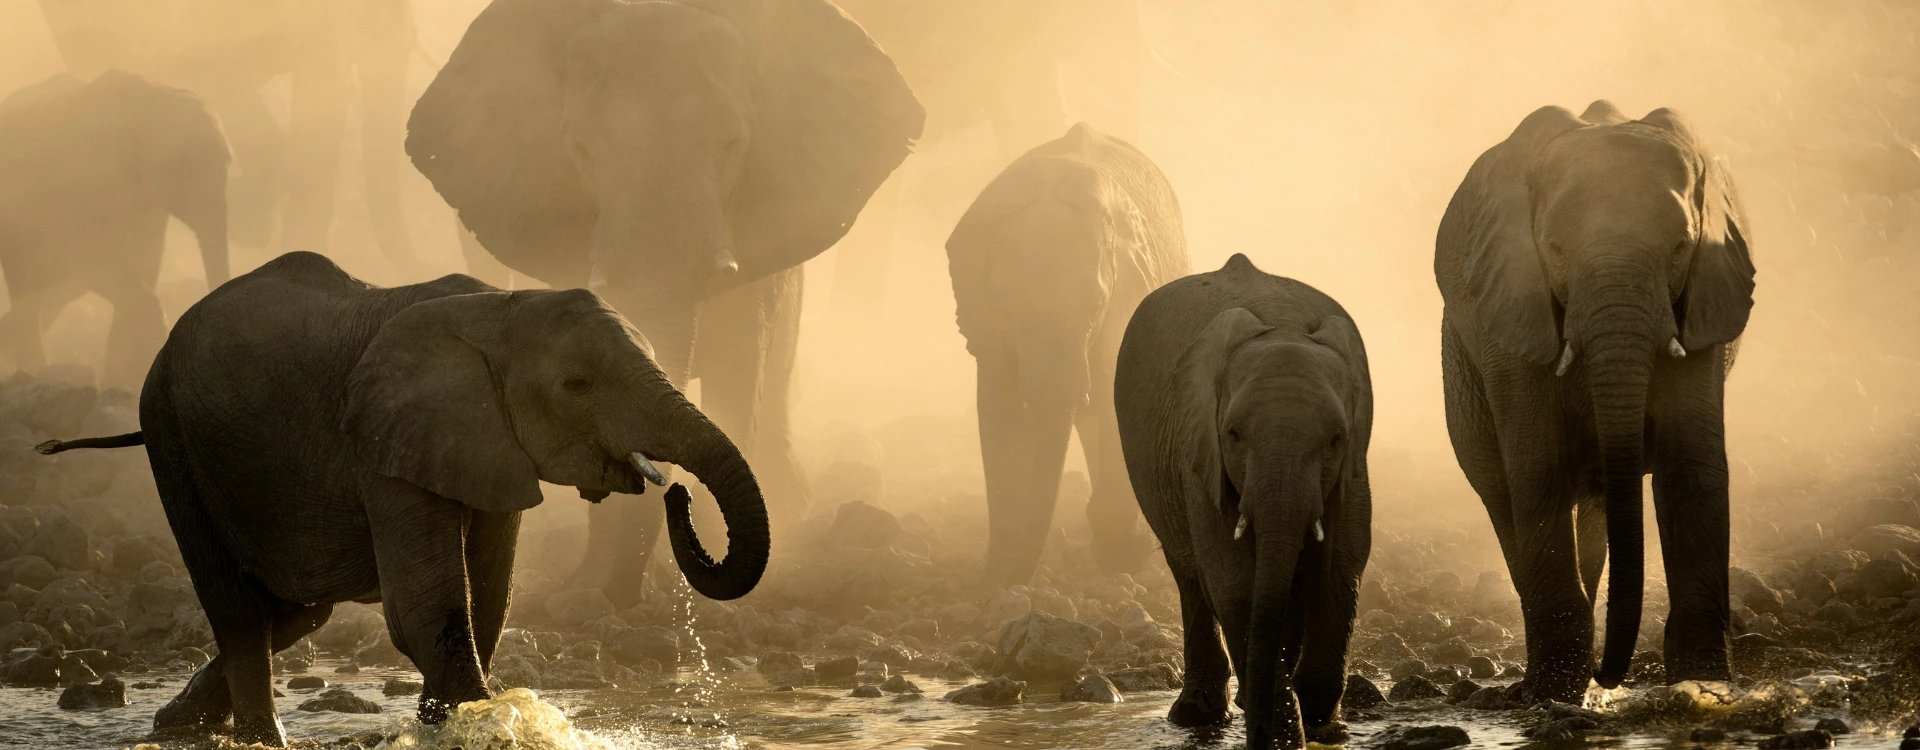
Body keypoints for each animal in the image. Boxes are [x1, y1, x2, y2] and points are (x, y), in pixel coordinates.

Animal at [0, 69, 228, 387]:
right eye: (183, 169)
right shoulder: (89, 181)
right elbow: (100, 268)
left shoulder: (146, 205)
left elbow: (146, 265)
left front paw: (120, 383)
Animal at [33, 251, 760, 744]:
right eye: (577, 385)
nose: (677, 493)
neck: (503, 305)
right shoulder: (386, 444)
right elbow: (425, 610)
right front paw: (478, 725)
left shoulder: (486, 445)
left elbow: (487, 601)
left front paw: (453, 721)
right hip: (172, 437)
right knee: (241, 611)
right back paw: (257, 739)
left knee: (293, 613)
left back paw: (173, 725)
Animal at [944, 121, 1182, 586]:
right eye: (1005, 306)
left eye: (1095, 304)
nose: (1016, 578)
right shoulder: (988, 324)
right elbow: (998, 405)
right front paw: (999, 572)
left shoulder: (1124, 301)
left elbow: (1116, 394)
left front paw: (1122, 556)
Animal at [1121, 253, 1374, 750]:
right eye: (1234, 434)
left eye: (1336, 439)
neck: (1282, 325)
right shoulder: (1199, 452)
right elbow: (1233, 577)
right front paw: (1282, 734)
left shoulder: (1354, 465)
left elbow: (1342, 564)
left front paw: (1324, 726)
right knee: (1190, 574)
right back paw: (1199, 714)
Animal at [1443, 99, 1758, 705]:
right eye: (1555, 249)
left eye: (1680, 247)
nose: (1611, 675)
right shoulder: (1513, 311)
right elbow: (1537, 469)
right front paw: (1554, 695)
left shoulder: (1702, 302)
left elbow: (1692, 467)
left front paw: (1704, 686)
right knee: (1500, 491)